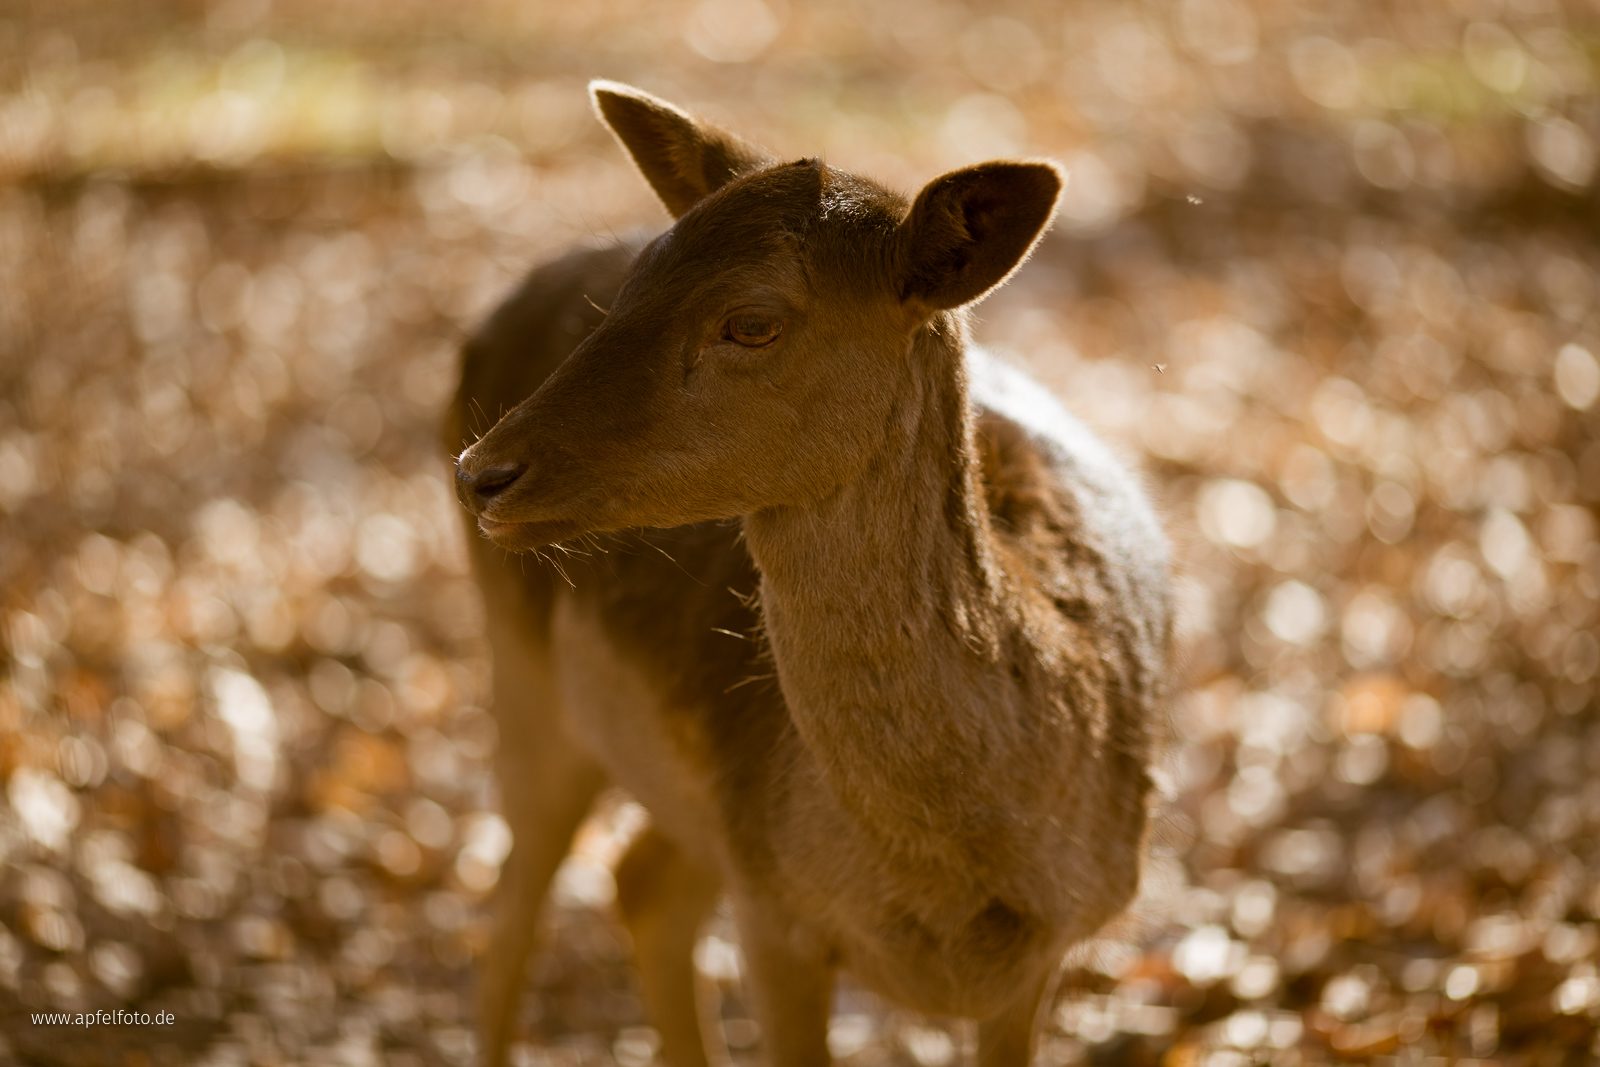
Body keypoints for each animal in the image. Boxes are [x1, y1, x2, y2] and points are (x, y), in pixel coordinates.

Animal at [445, 80, 1173, 1067]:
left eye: (752, 321)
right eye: (634, 284)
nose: (483, 471)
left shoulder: (1050, 946)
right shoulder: (775, 910)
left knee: (641, 881)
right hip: (528, 680)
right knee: (517, 905)